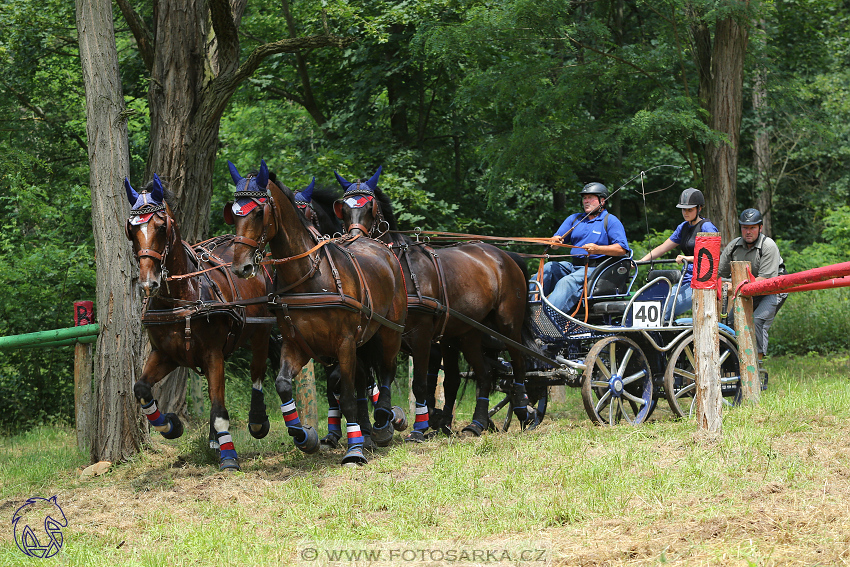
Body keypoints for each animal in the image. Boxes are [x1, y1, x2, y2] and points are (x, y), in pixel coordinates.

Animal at [124, 175, 276, 472]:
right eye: (131, 230)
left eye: (161, 227)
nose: (149, 283)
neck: (182, 297)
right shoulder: (166, 354)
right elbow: (142, 389)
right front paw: (171, 425)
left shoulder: (212, 353)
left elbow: (218, 409)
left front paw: (229, 457)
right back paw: (214, 441)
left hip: (261, 331)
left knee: (257, 374)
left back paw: (255, 422)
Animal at [227, 160, 406, 466]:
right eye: (234, 212)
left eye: (259, 211)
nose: (241, 266)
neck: (309, 276)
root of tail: (381, 247)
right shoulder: (296, 342)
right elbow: (283, 385)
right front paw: (302, 435)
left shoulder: (345, 344)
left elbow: (346, 395)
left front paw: (355, 449)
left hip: (389, 330)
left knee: (386, 370)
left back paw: (384, 421)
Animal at [332, 166, 528, 438]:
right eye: (344, 208)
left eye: (370, 207)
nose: (355, 239)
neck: (399, 269)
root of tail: (505, 255)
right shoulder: (373, 340)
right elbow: (371, 382)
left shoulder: (421, 335)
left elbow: (420, 384)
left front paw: (418, 428)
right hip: (468, 333)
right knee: (484, 374)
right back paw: (475, 423)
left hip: (508, 324)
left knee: (518, 362)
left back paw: (523, 410)